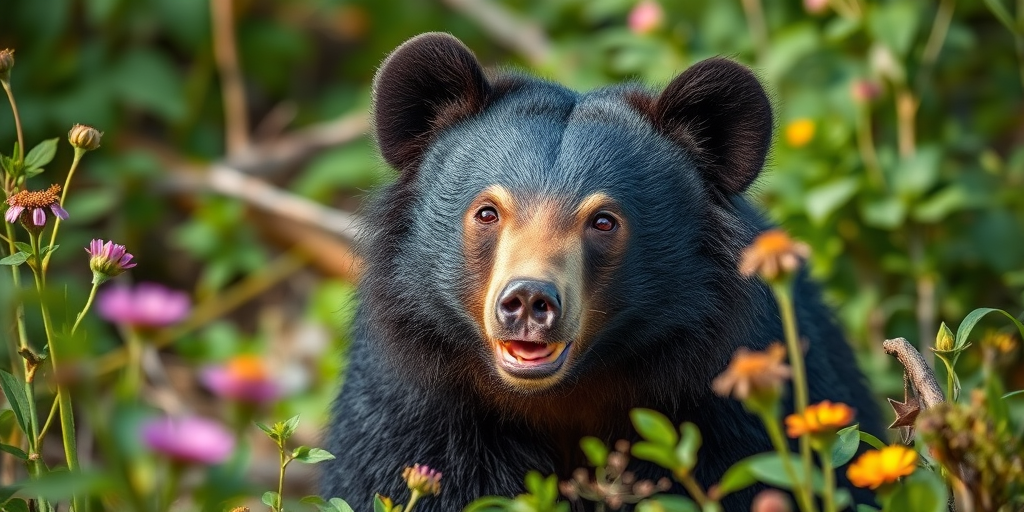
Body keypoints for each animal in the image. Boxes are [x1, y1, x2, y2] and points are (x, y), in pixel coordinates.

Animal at [320, 32, 882, 511]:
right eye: (488, 212)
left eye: (603, 221)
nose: (528, 301)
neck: (564, 398)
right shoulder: (415, 417)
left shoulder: (729, 420)